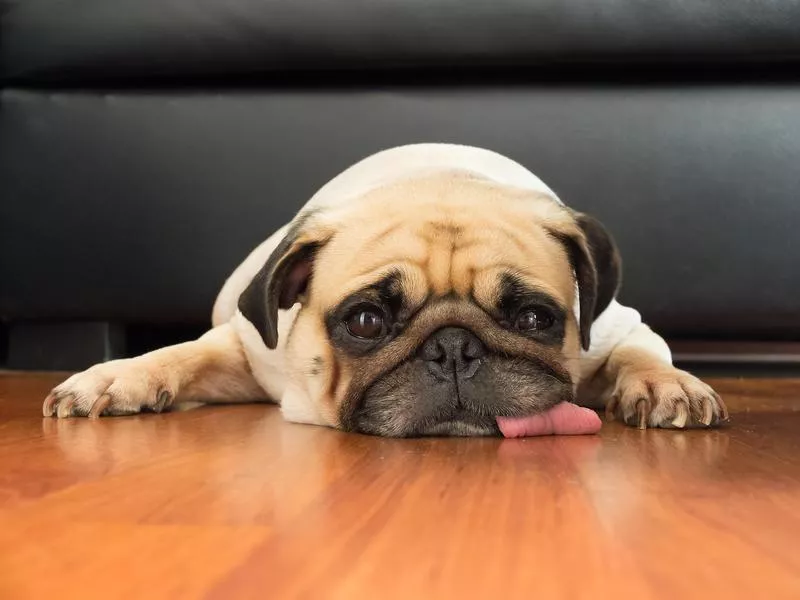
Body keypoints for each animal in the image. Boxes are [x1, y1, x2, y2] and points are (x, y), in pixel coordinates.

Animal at [45, 145, 732, 436]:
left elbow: (641, 354)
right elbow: (178, 355)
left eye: (535, 319)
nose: (453, 349)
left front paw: (667, 387)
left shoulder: (622, 325)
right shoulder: (244, 350)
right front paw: (115, 378)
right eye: (367, 322)